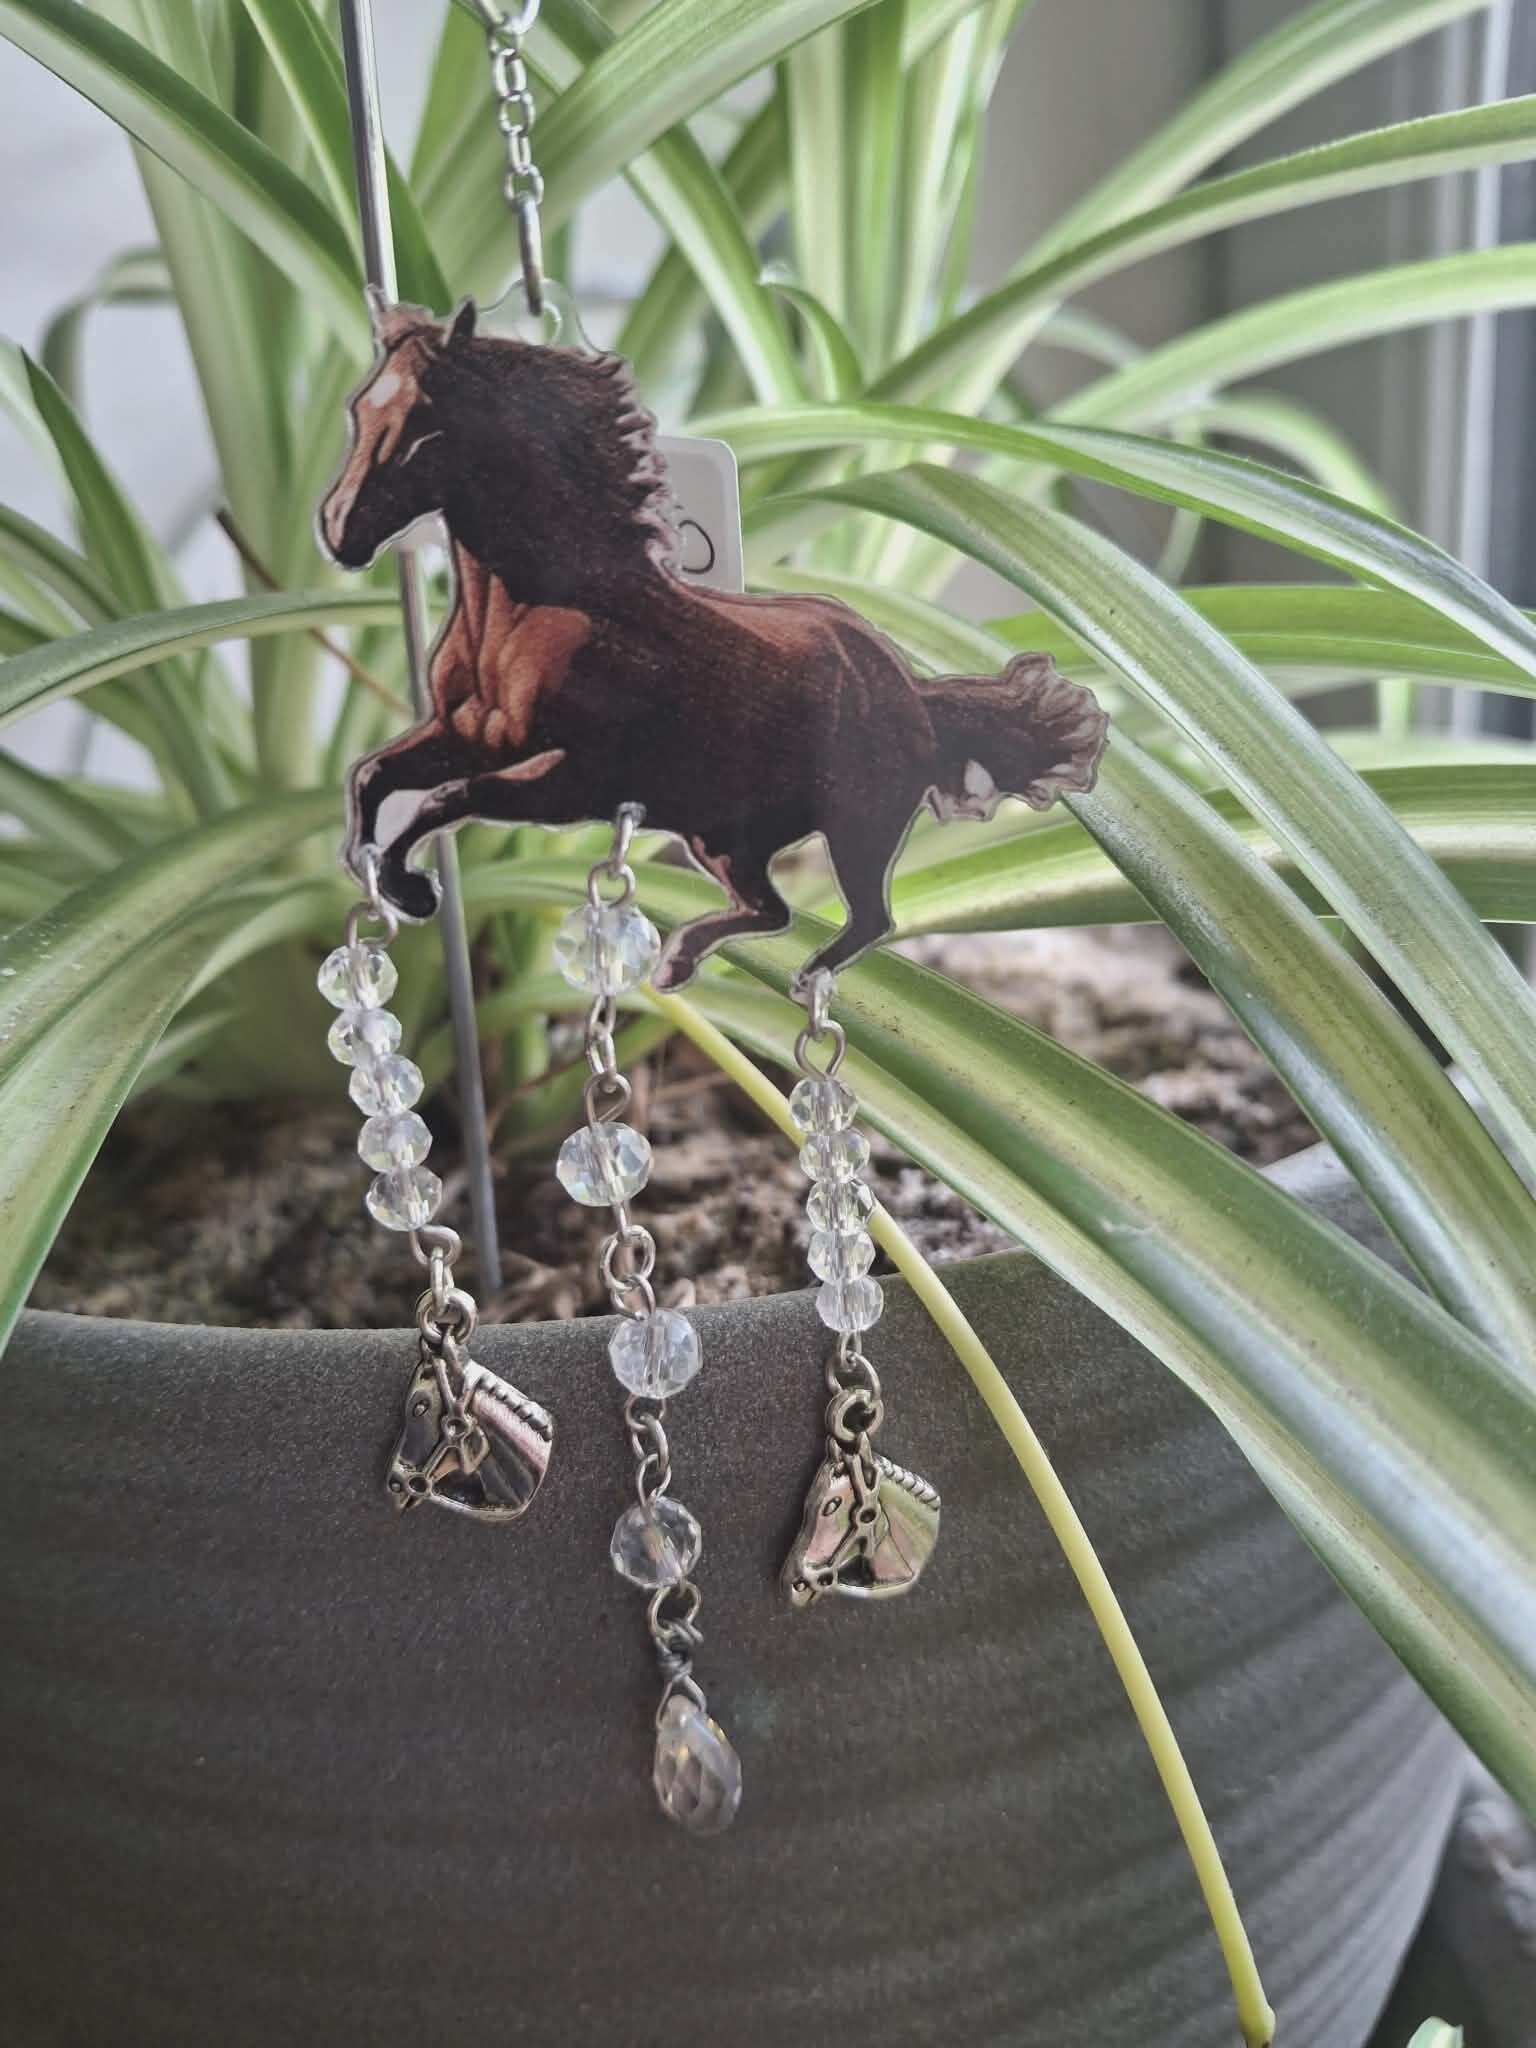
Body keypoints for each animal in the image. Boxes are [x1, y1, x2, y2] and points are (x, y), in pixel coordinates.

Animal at [319, 298, 1108, 991]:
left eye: (426, 427)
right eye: (360, 411)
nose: (339, 532)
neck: (552, 611)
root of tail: (918, 697)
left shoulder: (575, 783)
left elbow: (446, 798)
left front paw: (410, 888)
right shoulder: (469, 733)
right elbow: (377, 777)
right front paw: (385, 877)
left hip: (855, 831)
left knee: (866, 919)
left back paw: (787, 975)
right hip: (724, 838)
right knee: (773, 908)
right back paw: (677, 962)